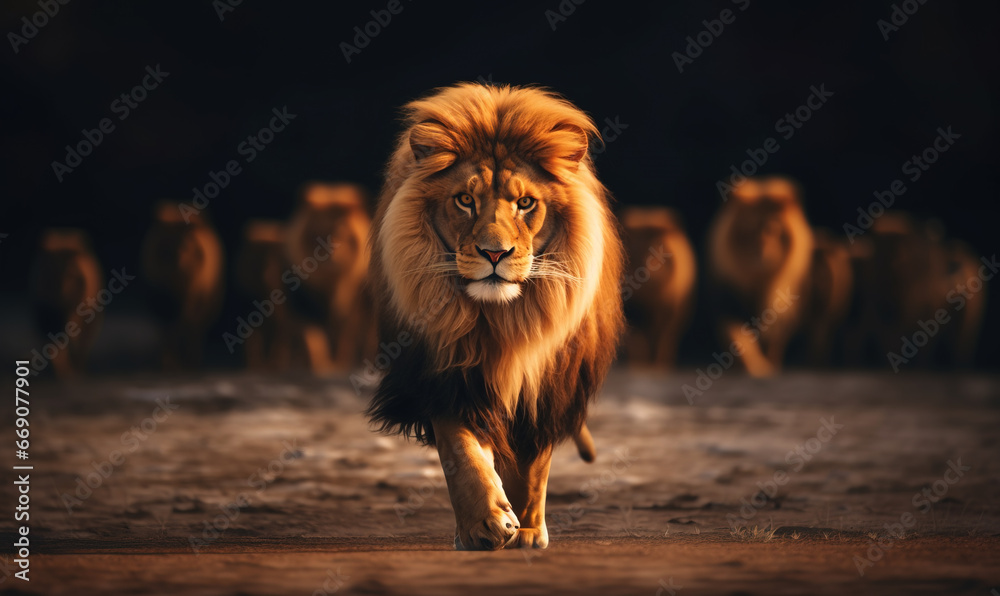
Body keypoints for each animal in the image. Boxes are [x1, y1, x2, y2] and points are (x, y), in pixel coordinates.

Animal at [141, 202, 225, 369]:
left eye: (183, 248)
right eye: (164, 249)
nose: (177, 263)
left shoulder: (190, 302)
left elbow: (184, 329)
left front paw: (180, 362)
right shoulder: (160, 305)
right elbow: (168, 332)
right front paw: (168, 362)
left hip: (208, 304)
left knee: (195, 331)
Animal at [286, 182, 376, 371]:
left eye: (340, 235)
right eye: (317, 236)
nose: (330, 257)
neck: (331, 282)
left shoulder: (351, 303)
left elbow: (343, 334)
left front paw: (339, 362)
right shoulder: (305, 302)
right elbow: (312, 336)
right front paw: (318, 364)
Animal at [366, 83, 624, 551]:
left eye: (525, 203)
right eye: (465, 200)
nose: (494, 253)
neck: (498, 321)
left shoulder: (548, 382)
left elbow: (532, 464)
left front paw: (527, 529)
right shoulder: (443, 371)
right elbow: (460, 451)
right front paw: (483, 524)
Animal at [620, 207, 696, 369]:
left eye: (653, 255)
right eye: (628, 255)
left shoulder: (667, 311)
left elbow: (659, 338)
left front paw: (657, 366)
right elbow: (636, 342)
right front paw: (638, 365)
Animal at [707, 177, 814, 376]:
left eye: (772, 230)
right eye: (747, 232)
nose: (761, 255)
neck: (759, 280)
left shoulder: (781, 316)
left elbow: (773, 344)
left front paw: (768, 367)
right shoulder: (727, 305)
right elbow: (739, 341)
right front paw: (756, 367)